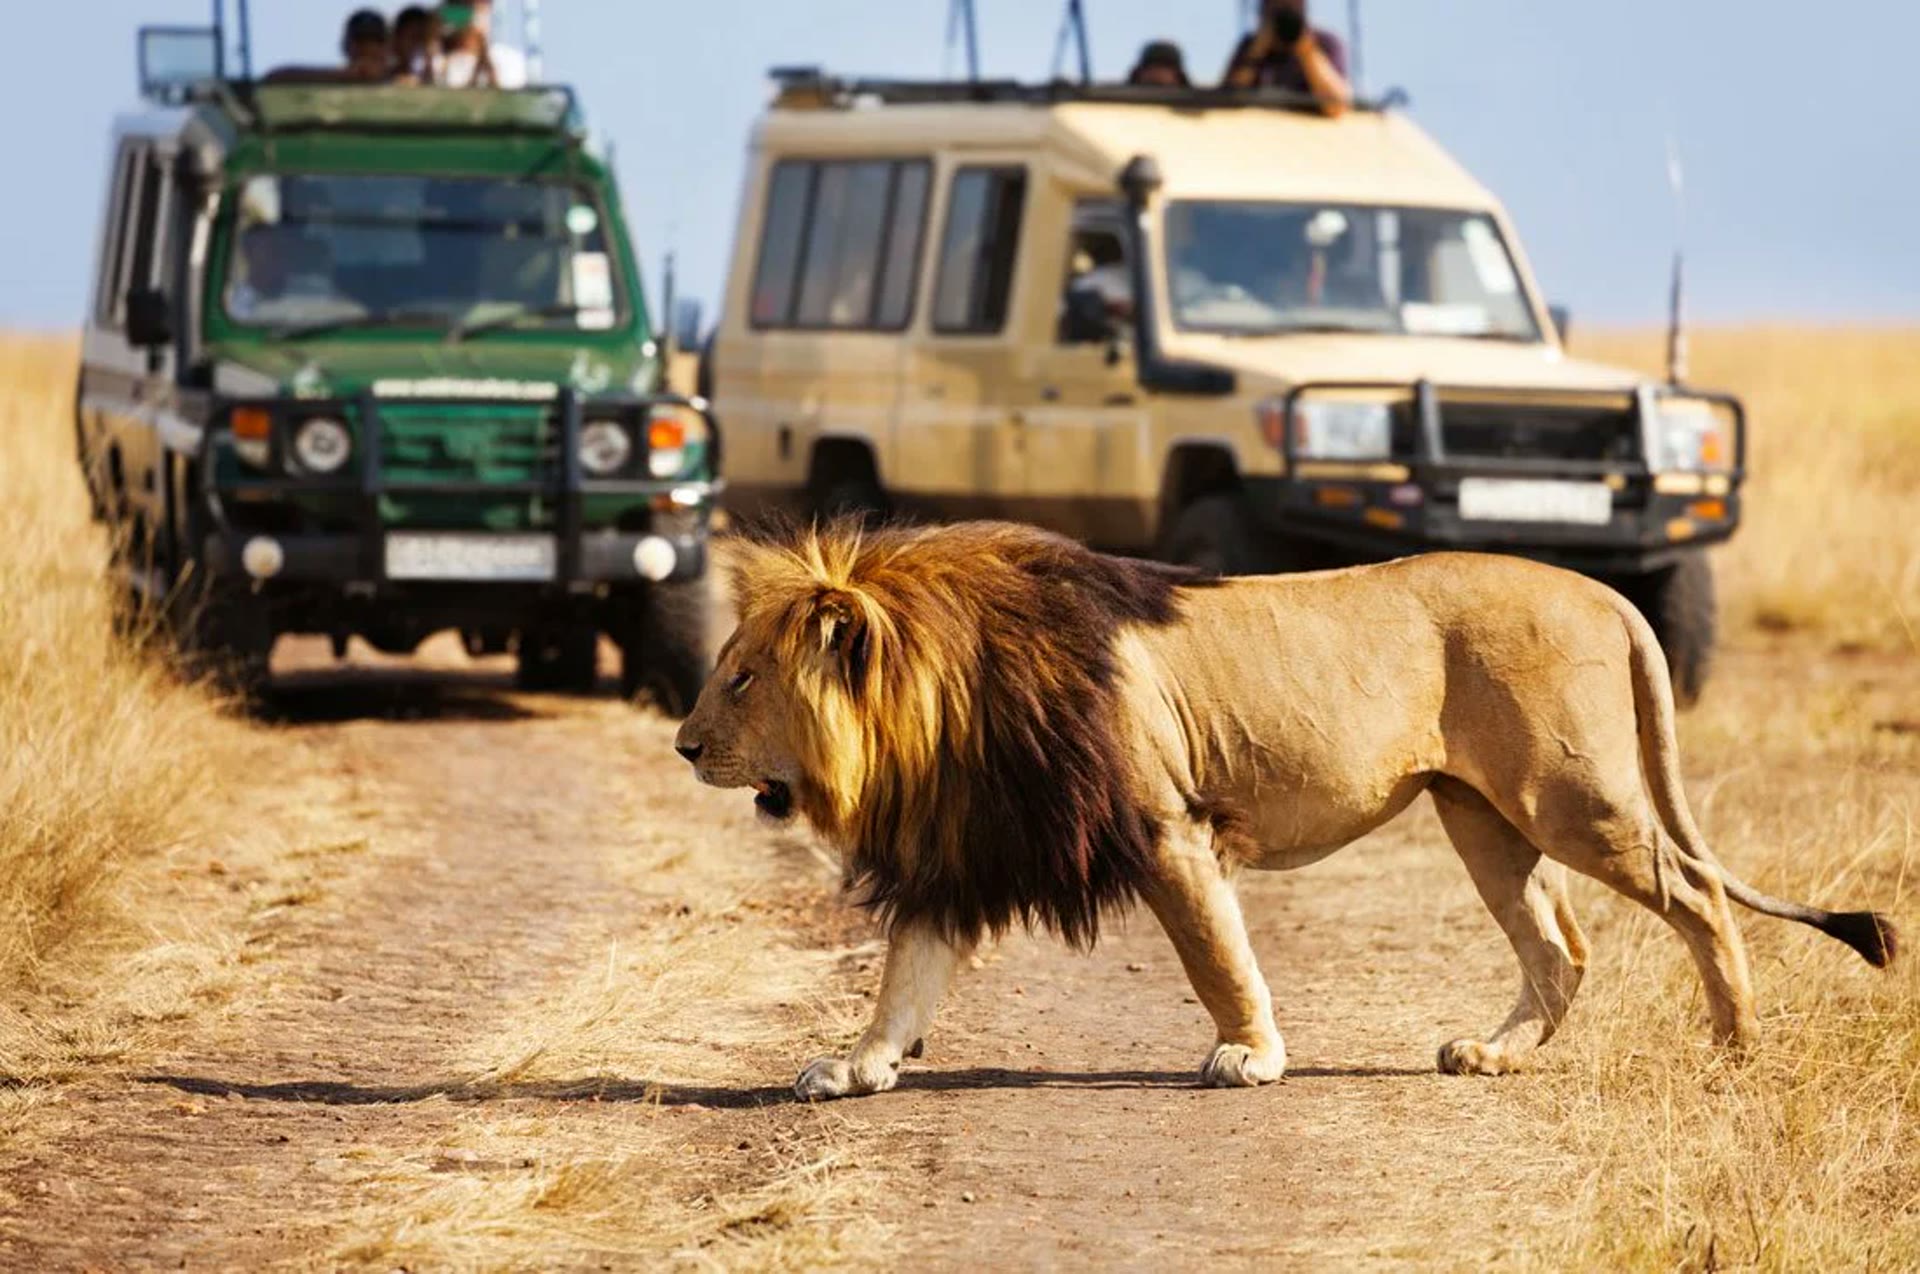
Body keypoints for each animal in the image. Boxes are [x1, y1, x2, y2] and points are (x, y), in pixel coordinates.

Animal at [673, 521, 1898, 1100]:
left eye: (740, 678)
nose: (683, 745)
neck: (943, 705)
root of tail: (1604, 590)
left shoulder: (1167, 827)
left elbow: (1218, 955)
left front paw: (1250, 1056)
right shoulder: (960, 852)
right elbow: (903, 977)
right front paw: (856, 1067)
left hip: (1570, 795)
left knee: (1695, 892)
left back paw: (1734, 1044)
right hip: (1481, 816)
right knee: (1562, 947)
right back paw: (1491, 1055)